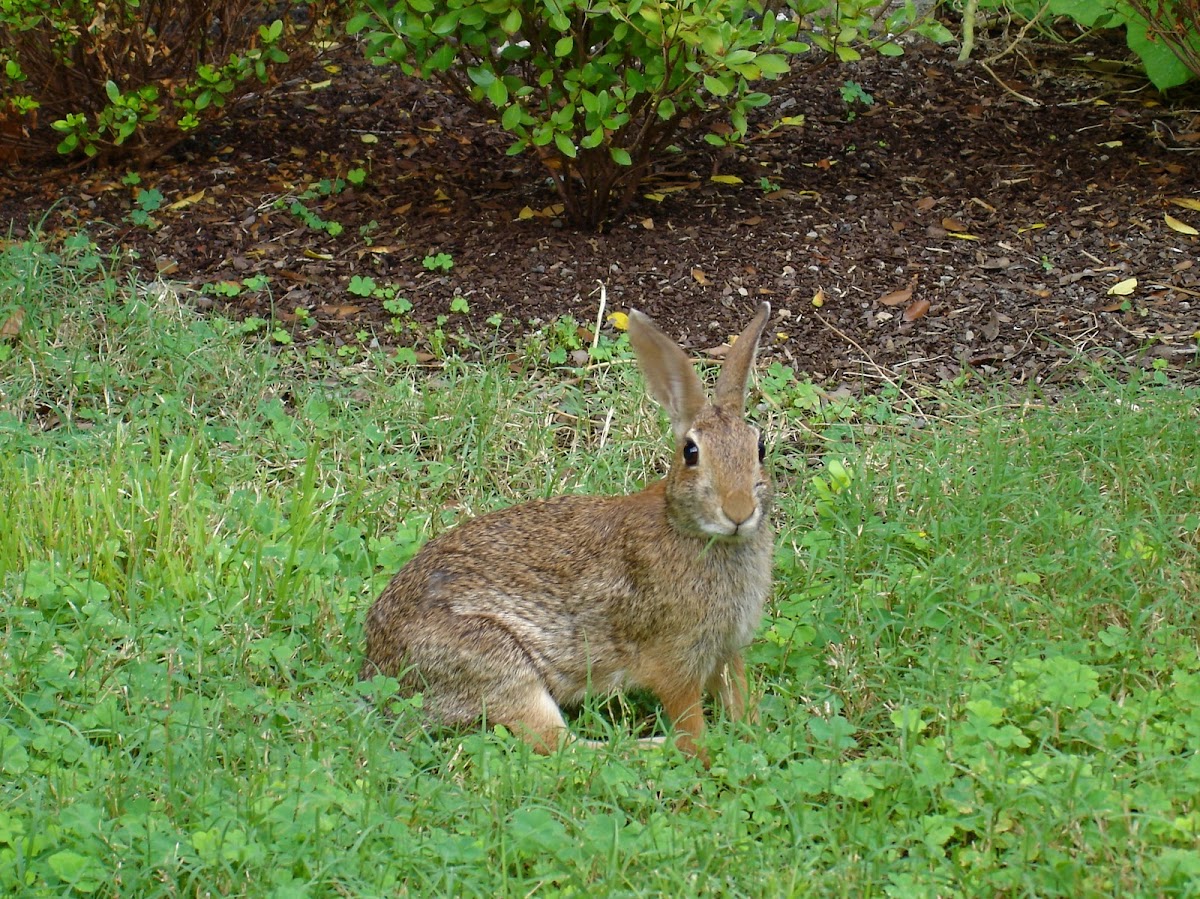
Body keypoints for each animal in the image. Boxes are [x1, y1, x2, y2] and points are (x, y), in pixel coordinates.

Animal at [360, 303, 772, 763]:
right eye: (691, 452)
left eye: (760, 448)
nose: (739, 512)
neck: (690, 529)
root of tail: (377, 666)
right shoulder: (674, 659)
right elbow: (690, 724)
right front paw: (704, 750)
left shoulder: (728, 650)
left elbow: (738, 696)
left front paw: (751, 730)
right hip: (499, 662)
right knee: (559, 745)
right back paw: (649, 746)